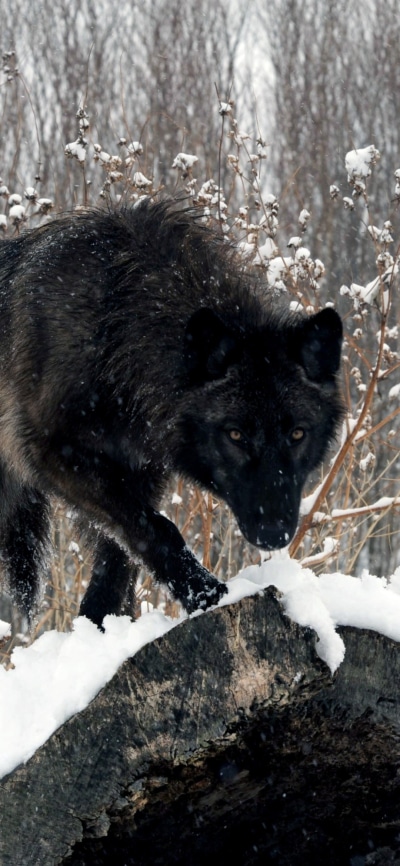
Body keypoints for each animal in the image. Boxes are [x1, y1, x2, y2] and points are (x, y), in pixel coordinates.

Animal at [0, 198, 343, 627]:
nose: (274, 533)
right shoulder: (53, 455)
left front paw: (102, 632)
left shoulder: (141, 474)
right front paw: (207, 594)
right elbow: (157, 530)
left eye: (297, 434)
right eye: (235, 435)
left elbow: (118, 565)